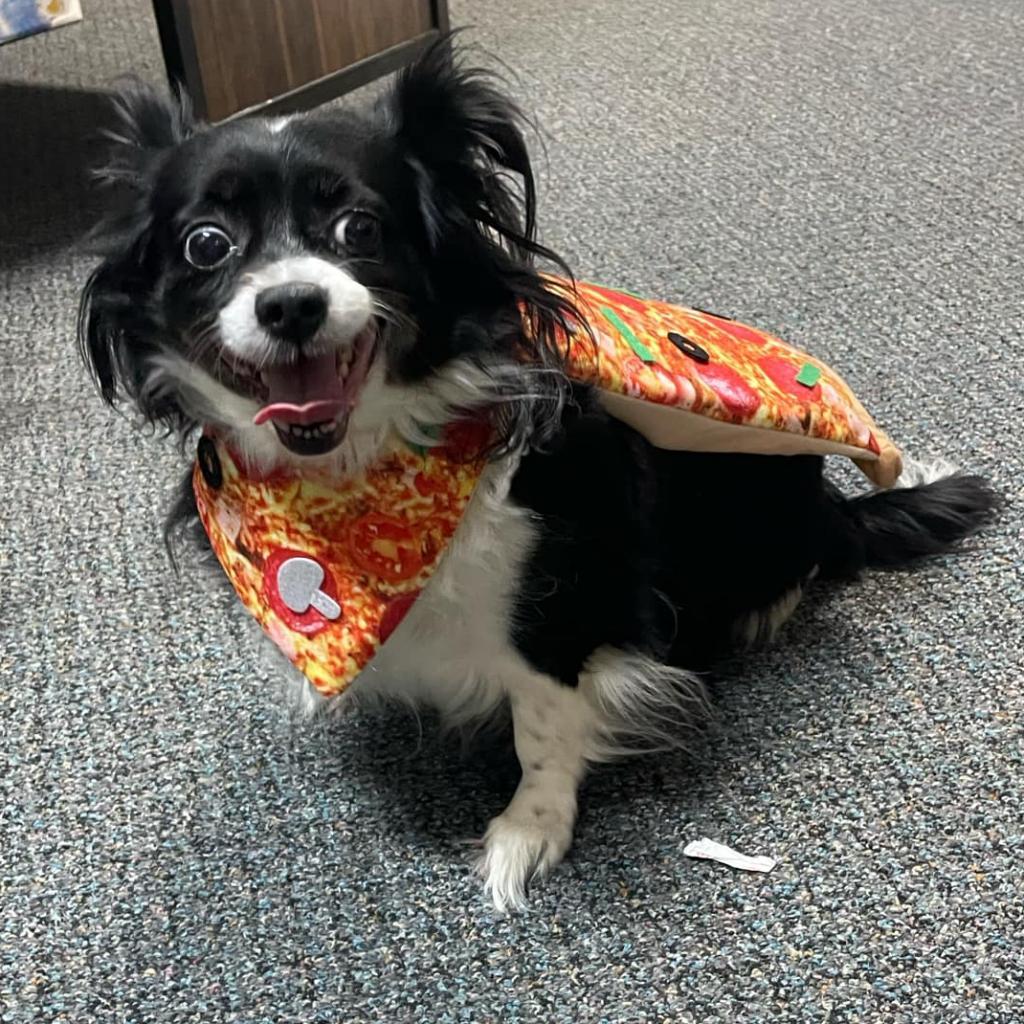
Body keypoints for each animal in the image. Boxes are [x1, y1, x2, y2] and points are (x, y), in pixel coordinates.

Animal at [81, 39, 999, 909]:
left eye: (360, 230)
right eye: (206, 244)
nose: (291, 304)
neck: (355, 483)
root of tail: (833, 509)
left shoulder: (565, 594)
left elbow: (544, 722)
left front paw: (530, 829)